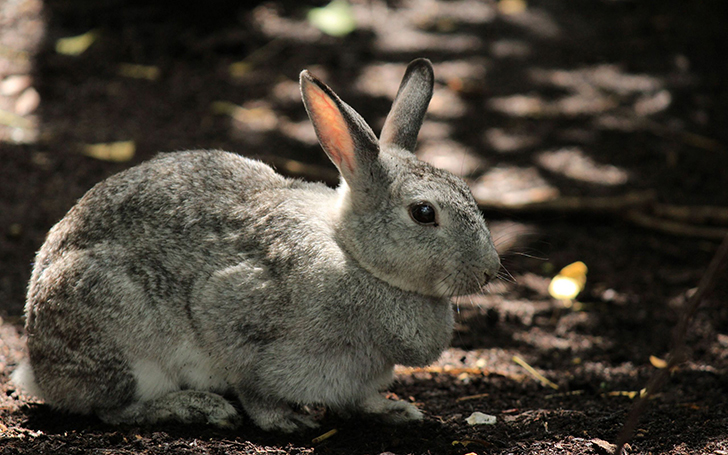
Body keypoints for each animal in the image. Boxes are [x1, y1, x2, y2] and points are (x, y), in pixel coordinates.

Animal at [12, 58, 500, 432]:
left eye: (466, 190)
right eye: (424, 213)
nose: (489, 270)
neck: (353, 254)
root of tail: (37, 365)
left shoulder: (359, 377)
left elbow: (360, 400)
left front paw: (396, 412)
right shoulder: (230, 311)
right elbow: (252, 383)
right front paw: (285, 421)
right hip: (119, 333)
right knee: (113, 408)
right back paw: (195, 407)